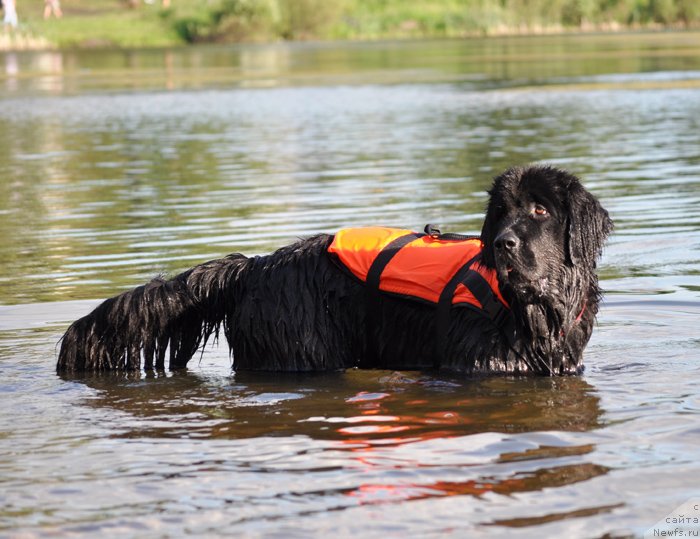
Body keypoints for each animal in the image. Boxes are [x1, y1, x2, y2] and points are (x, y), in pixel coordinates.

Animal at [56, 167, 612, 378]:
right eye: (500, 214)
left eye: (540, 210)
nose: (503, 244)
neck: (535, 312)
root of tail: (254, 268)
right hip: (303, 351)